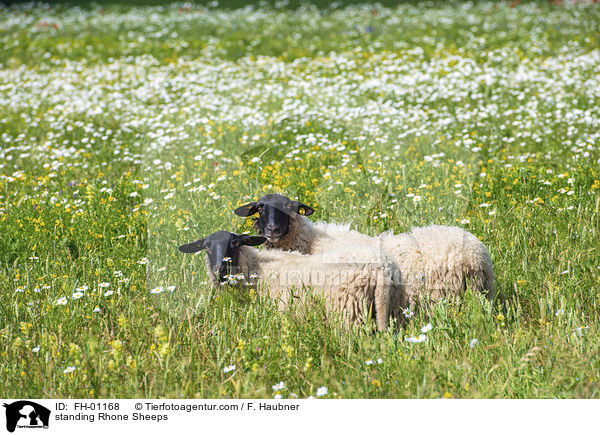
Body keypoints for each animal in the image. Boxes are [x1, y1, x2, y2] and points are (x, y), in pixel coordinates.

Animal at [178, 232, 408, 330]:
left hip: (348, 310)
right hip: (392, 308)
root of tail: (382, 267)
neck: (256, 267)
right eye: (206, 247)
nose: (219, 271)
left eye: (235, 243)